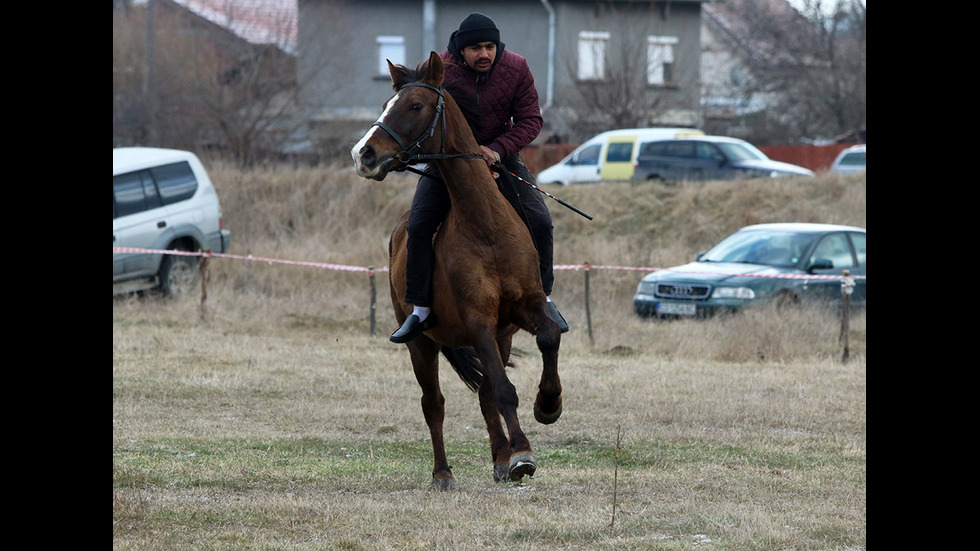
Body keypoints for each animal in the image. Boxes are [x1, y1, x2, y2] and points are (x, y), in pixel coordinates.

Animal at [352, 52, 568, 492]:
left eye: (414, 106)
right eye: (386, 104)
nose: (364, 155)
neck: (485, 227)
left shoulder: (523, 309)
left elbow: (547, 339)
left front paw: (548, 405)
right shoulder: (478, 321)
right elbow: (503, 390)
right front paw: (522, 453)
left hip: (502, 337)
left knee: (484, 393)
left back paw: (499, 459)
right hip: (422, 343)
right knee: (434, 404)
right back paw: (443, 474)